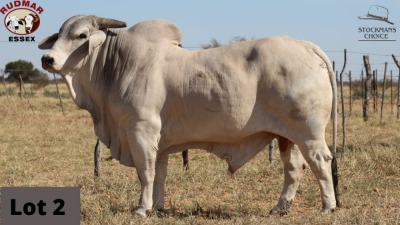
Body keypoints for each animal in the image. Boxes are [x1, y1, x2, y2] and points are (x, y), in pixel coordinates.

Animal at [37, 14, 340, 217]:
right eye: (59, 34)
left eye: (81, 36)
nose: (47, 60)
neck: (115, 65)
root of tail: (305, 45)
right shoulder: (159, 142)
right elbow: (159, 174)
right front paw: (157, 207)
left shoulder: (141, 130)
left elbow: (145, 173)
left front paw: (142, 208)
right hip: (285, 135)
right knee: (294, 168)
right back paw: (280, 208)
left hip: (308, 133)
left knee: (320, 162)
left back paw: (328, 206)